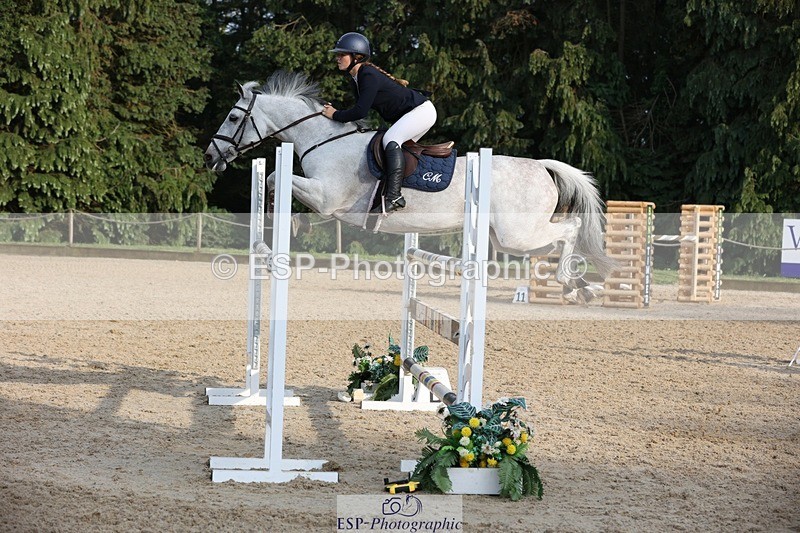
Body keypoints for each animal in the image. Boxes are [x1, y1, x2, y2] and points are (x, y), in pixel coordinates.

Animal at [204, 71, 615, 299]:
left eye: (234, 117)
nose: (210, 156)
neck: (324, 139)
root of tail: (542, 166)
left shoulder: (326, 198)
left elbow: (277, 177)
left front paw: (290, 221)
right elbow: (277, 178)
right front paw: (293, 222)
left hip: (519, 233)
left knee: (572, 228)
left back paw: (574, 285)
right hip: (507, 238)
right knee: (559, 239)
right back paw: (580, 286)